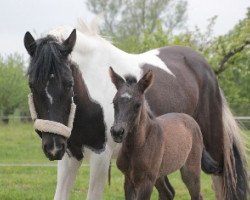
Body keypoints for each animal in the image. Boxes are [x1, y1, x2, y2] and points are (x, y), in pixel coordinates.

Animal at [109, 67, 221, 200]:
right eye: (114, 102)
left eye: (137, 105)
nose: (117, 132)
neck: (138, 146)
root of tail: (191, 120)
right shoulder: (128, 180)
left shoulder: (146, 181)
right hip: (160, 175)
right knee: (167, 193)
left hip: (190, 171)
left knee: (196, 195)